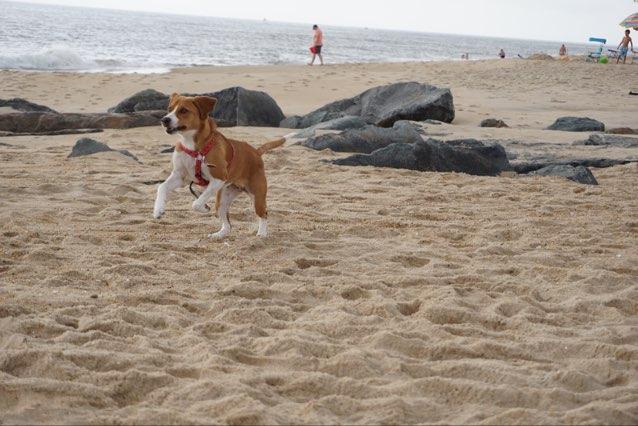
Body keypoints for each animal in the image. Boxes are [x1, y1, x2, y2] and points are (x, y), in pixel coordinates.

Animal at [155, 93, 284, 238]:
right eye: (169, 109)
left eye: (183, 110)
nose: (164, 120)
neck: (192, 145)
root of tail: (256, 152)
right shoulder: (180, 177)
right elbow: (162, 187)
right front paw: (158, 210)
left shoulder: (218, 179)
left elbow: (196, 203)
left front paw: (203, 207)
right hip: (222, 200)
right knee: (227, 225)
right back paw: (219, 235)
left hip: (257, 196)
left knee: (264, 214)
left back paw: (261, 234)